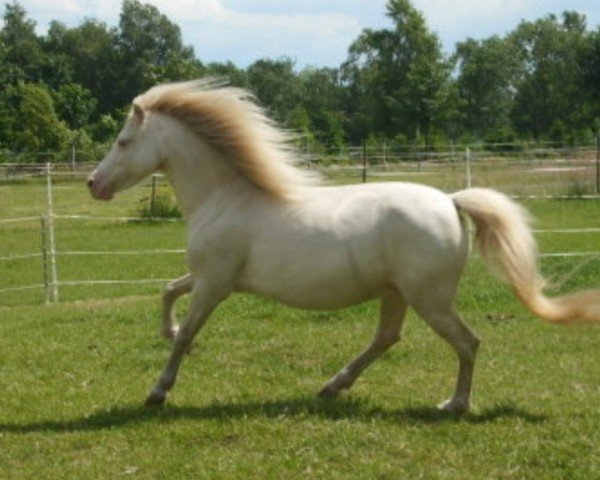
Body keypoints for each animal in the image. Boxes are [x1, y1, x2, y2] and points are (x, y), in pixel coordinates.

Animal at [88, 79, 600, 412]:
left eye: (123, 141)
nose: (94, 184)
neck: (225, 197)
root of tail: (451, 201)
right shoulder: (212, 278)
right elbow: (169, 292)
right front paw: (168, 333)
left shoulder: (215, 283)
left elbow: (188, 330)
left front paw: (158, 391)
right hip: (398, 294)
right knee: (388, 337)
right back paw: (333, 387)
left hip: (429, 298)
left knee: (467, 342)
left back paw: (452, 404)